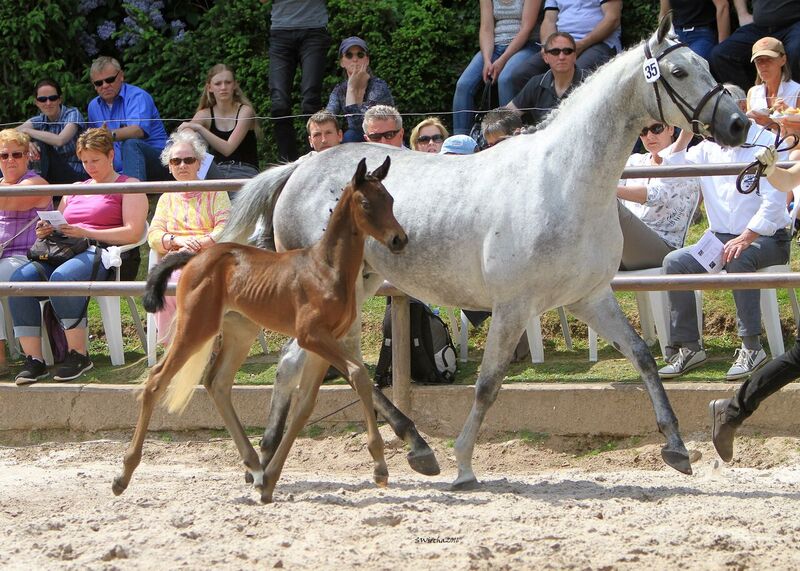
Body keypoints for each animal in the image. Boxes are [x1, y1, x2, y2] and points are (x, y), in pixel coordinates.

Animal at [112, 156, 406, 500]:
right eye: (365, 203)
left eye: (390, 200)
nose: (399, 239)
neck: (326, 268)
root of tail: (195, 257)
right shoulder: (311, 336)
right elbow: (358, 375)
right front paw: (380, 467)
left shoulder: (325, 344)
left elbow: (305, 405)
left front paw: (270, 479)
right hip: (196, 326)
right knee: (156, 381)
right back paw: (123, 474)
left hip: (240, 333)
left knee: (217, 383)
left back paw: (254, 465)